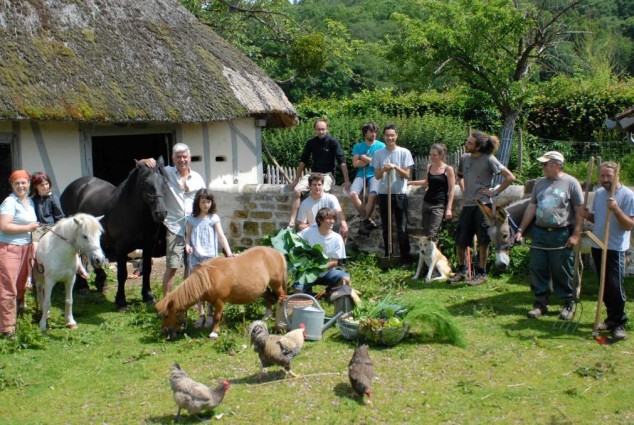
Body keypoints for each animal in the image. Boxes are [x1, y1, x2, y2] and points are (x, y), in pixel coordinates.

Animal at [61, 159, 168, 308]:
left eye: (164, 181)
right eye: (146, 183)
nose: (161, 213)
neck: (134, 213)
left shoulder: (149, 245)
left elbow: (147, 269)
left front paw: (148, 296)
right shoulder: (121, 247)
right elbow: (122, 273)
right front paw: (121, 302)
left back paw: (100, 281)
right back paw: (83, 286)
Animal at [156, 245, 286, 338]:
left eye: (166, 315)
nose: (164, 331)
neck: (210, 278)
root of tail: (277, 253)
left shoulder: (220, 301)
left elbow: (217, 316)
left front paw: (214, 332)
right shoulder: (212, 300)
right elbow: (214, 314)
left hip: (276, 284)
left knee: (282, 297)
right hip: (263, 288)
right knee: (268, 298)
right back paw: (266, 316)